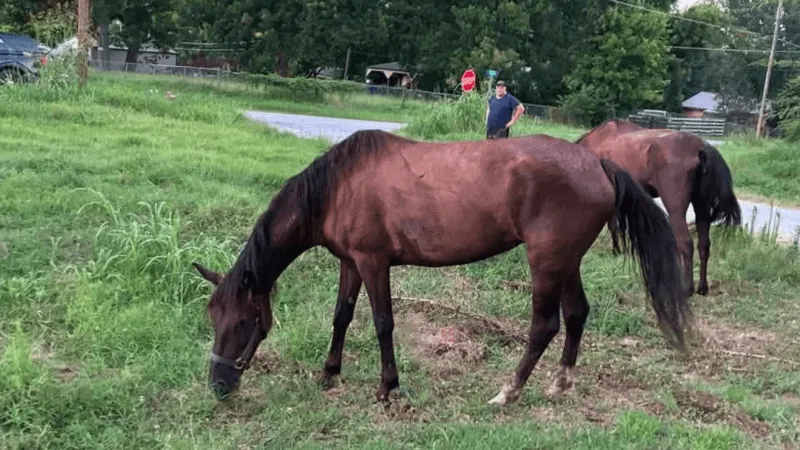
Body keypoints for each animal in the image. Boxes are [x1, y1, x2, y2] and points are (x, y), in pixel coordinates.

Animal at [192, 130, 691, 406]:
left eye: (242, 321)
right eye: (213, 320)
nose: (218, 385)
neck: (337, 187)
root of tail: (598, 164)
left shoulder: (373, 262)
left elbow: (382, 323)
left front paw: (388, 388)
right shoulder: (350, 262)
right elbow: (342, 317)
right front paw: (329, 373)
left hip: (546, 262)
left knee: (544, 325)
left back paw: (508, 392)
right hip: (566, 261)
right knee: (576, 315)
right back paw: (559, 384)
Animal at [575, 119, 741, 296]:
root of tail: (702, 149)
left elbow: (613, 225)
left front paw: (616, 251)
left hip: (676, 210)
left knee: (686, 244)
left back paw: (687, 287)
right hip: (702, 209)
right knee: (704, 245)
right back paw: (702, 287)